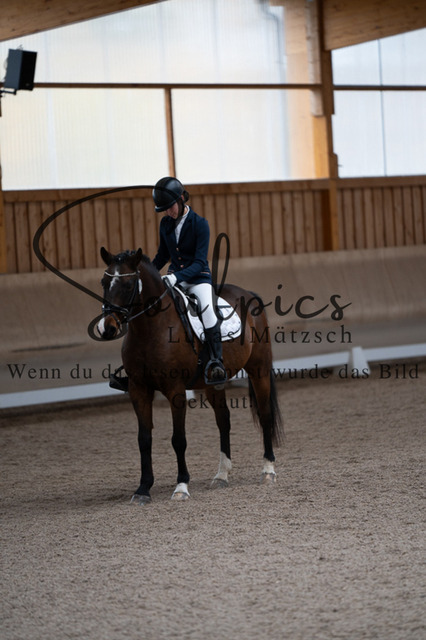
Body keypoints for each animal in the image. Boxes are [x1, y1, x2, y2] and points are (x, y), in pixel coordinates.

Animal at [97, 246, 284, 504]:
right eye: (104, 283)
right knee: (223, 420)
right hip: (213, 383)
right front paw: (143, 489)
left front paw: (181, 486)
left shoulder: (175, 390)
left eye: (127, 285)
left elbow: (178, 439)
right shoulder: (138, 389)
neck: (150, 329)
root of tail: (248, 293)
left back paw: (268, 471)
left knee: (265, 415)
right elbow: (144, 439)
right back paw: (221, 475)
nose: (107, 328)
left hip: (259, 370)